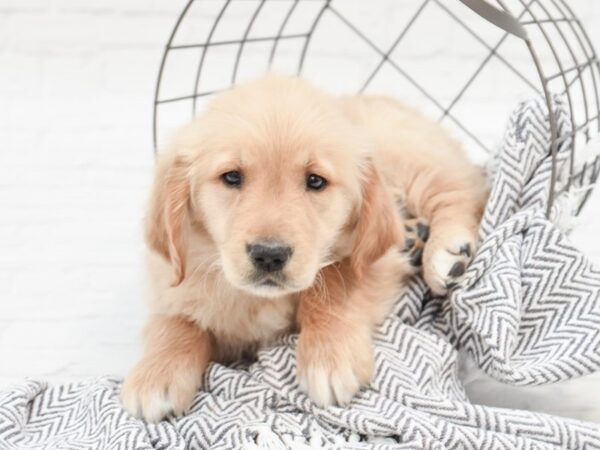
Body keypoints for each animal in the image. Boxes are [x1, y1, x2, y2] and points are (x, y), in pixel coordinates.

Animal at [120, 74, 488, 422]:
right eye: (232, 177)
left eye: (315, 181)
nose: (269, 255)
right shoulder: (174, 277)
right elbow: (175, 320)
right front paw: (156, 374)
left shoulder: (375, 262)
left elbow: (336, 280)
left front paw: (330, 355)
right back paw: (414, 233)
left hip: (412, 158)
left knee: (462, 192)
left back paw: (448, 253)